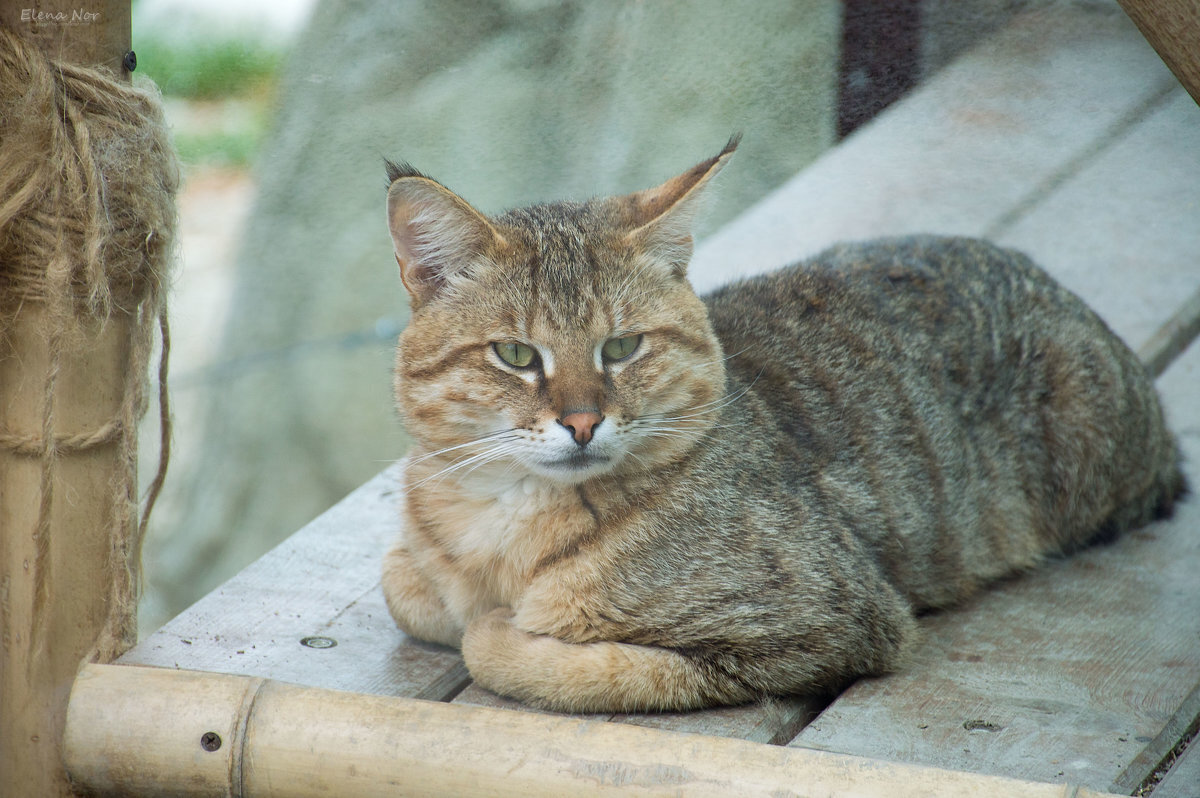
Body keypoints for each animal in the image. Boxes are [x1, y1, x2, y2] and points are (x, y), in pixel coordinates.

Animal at [379, 135, 1185, 710]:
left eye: (622, 347)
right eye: (516, 355)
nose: (583, 422)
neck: (498, 521)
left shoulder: (832, 622)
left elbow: (533, 653)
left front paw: (498, 624)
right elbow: (407, 590)